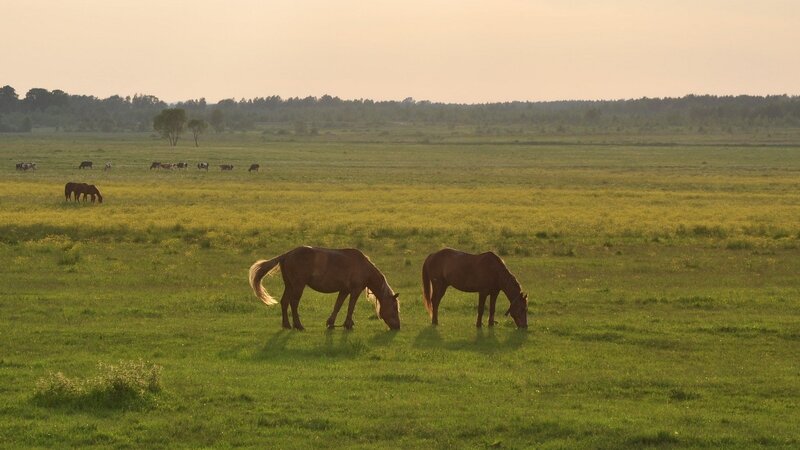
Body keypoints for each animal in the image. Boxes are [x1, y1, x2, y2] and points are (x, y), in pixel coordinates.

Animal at [249, 246, 401, 331]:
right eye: (394, 308)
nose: (398, 327)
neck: (363, 266)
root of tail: (287, 254)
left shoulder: (344, 290)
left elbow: (337, 306)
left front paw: (331, 323)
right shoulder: (355, 291)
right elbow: (350, 307)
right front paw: (348, 324)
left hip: (290, 285)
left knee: (284, 302)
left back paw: (287, 325)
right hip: (298, 285)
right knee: (294, 303)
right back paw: (298, 325)